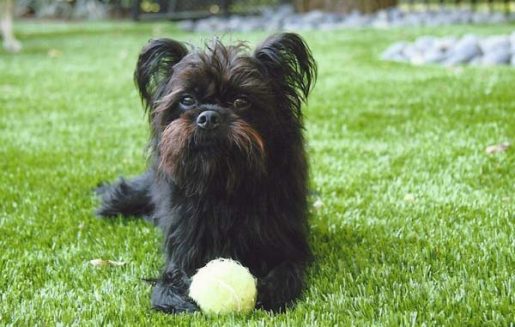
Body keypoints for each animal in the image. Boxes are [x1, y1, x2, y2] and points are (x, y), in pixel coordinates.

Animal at [95, 32, 316, 312]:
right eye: (187, 100)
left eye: (241, 101)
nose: (209, 116)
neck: (221, 182)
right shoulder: (183, 246)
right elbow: (169, 278)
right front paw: (176, 297)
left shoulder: (288, 245)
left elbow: (287, 270)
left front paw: (271, 292)